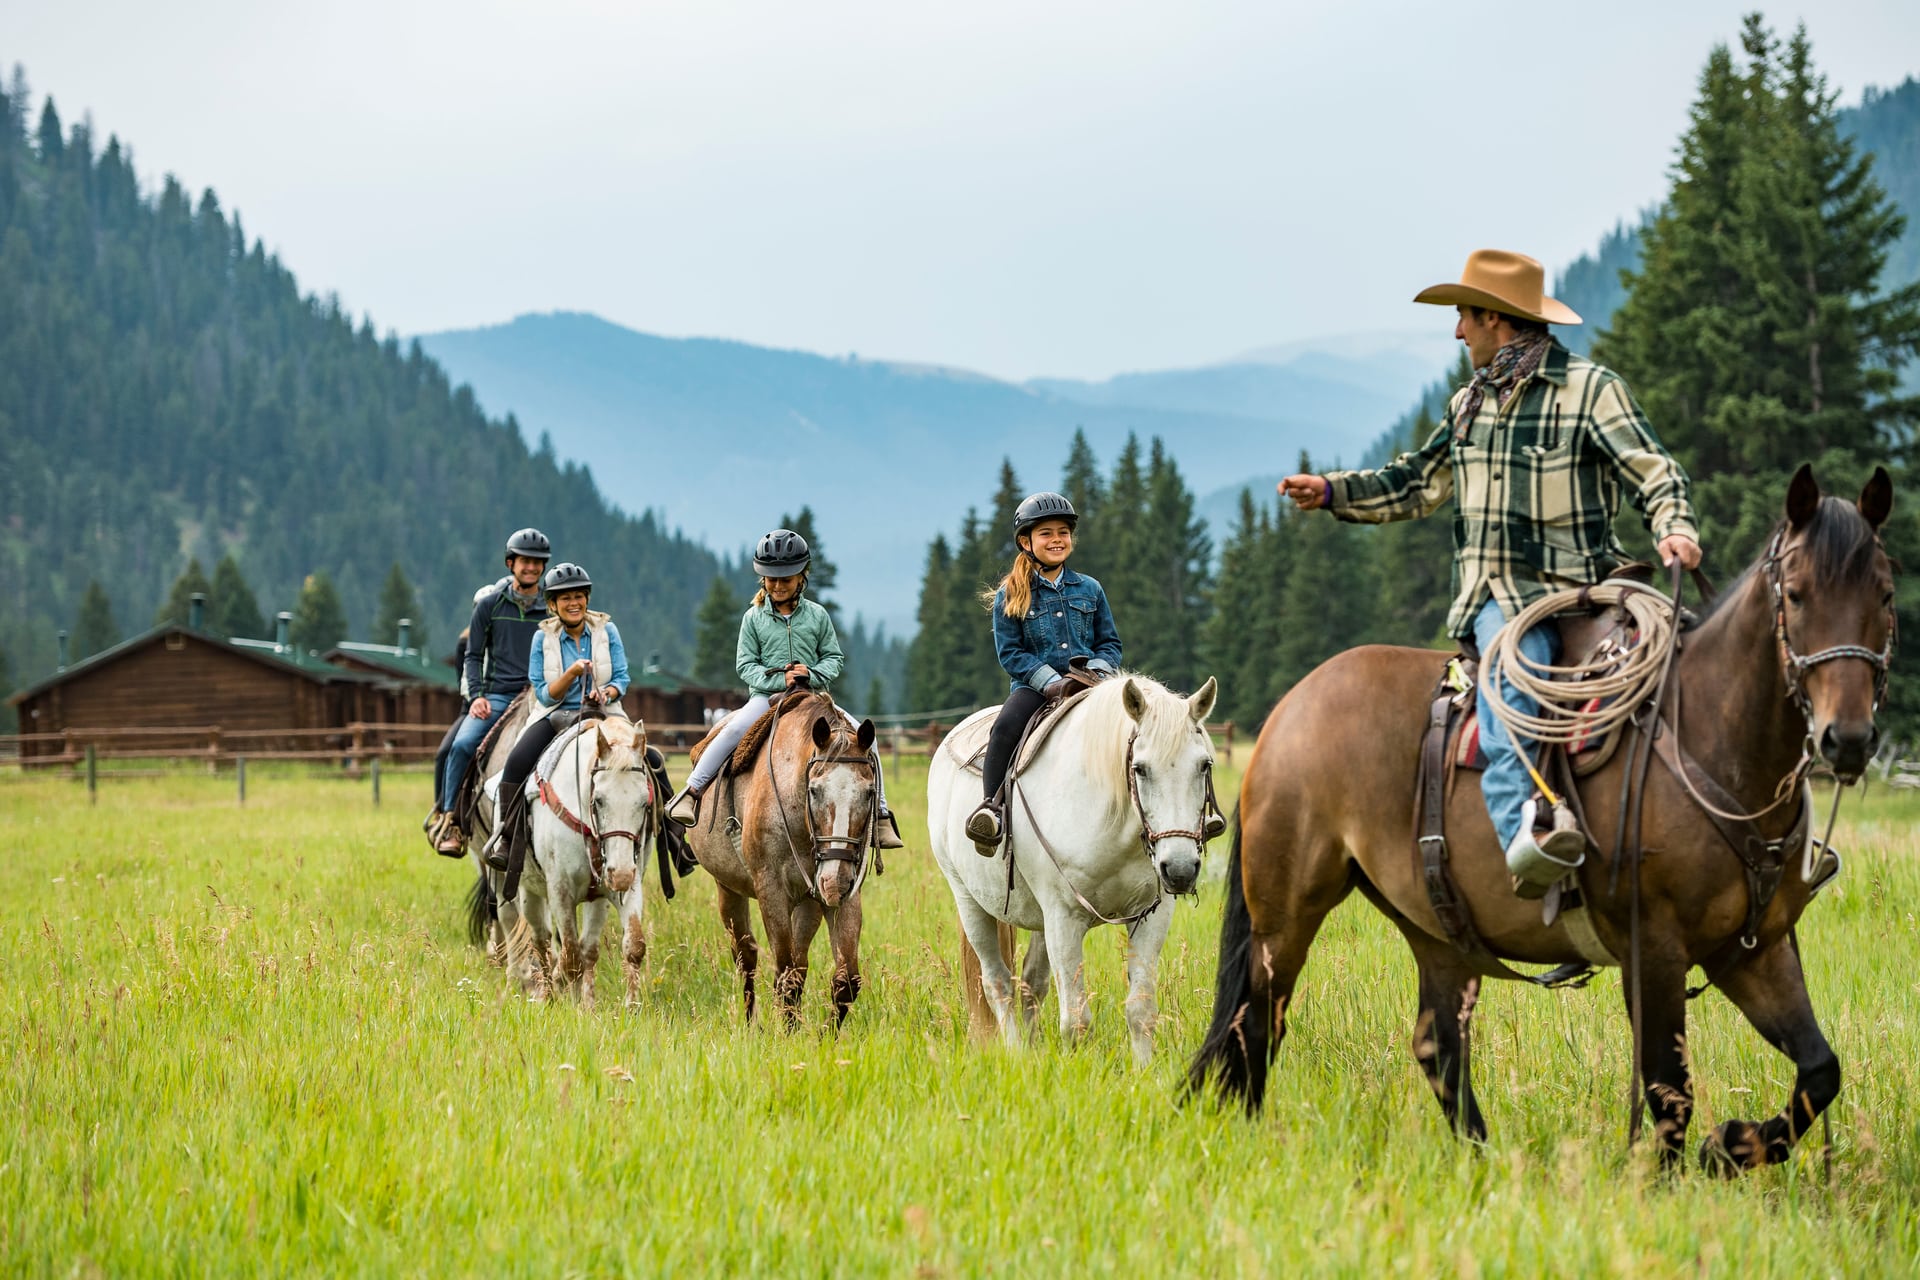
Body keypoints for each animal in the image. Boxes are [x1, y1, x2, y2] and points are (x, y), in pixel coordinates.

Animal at [679, 690, 879, 1028]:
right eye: (814, 790)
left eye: (868, 792)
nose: (835, 882)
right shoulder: (771, 891)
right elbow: (785, 977)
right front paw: (787, 1034)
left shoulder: (845, 895)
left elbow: (846, 981)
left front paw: (823, 1035)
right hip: (728, 889)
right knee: (746, 955)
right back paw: (751, 1024)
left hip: (810, 903)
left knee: (799, 963)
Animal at [1190, 468, 1896, 1174]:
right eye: (1796, 595)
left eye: (1885, 595)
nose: (1847, 739)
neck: (1711, 739)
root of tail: (1289, 708)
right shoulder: (1655, 952)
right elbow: (1668, 1090)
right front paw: (1675, 1177)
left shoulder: (1756, 950)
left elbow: (1819, 1070)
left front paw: (1730, 1146)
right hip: (1286, 913)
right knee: (1257, 1023)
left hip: (1436, 930)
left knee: (1436, 1044)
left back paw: (1482, 1159)